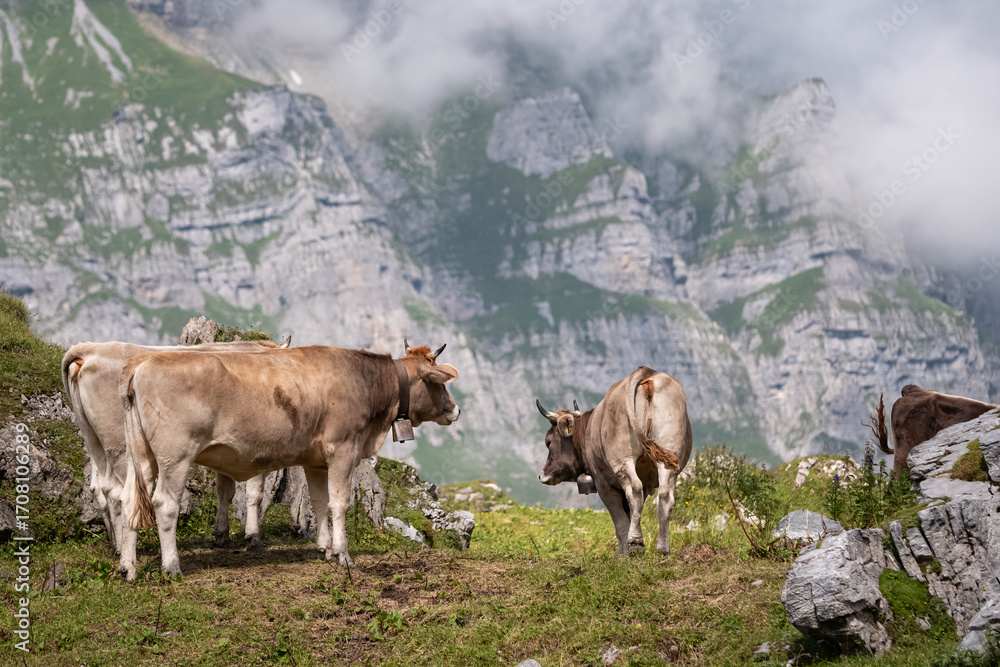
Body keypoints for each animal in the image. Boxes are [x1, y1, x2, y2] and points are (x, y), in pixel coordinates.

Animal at [61, 339, 288, 552]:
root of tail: (91, 350)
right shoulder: (255, 445)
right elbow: (254, 493)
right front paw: (253, 536)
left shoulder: (227, 451)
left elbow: (224, 492)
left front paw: (222, 535)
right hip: (118, 445)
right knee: (116, 492)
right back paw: (123, 546)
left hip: (93, 439)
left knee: (98, 488)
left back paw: (115, 542)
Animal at [117, 343, 460, 580]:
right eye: (440, 383)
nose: (456, 410)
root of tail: (142, 363)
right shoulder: (344, 450)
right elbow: (339, 503)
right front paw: (343, 554)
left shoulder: (315, 461)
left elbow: (320, 502)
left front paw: (325, 549)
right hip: (176, 456)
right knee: (164, 504)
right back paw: (172, 566)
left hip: (141, 457)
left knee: (129, 500)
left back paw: (127, 567)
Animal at [536, 366, 691, 555]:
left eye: (548, 442)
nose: (542, 475)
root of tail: (646, 372)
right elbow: (630, 515)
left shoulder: (603, 484)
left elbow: (620, 522)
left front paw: (621, 553)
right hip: (669, 459)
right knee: (665, 496)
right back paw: (662, 548)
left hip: (623, 461)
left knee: (634, 491)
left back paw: (636, 544)